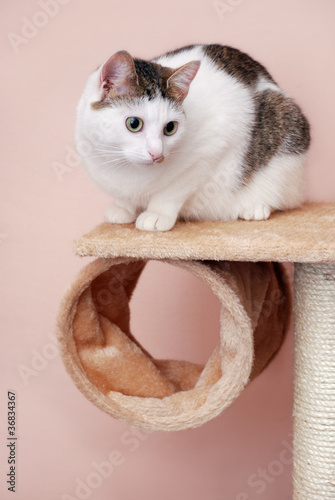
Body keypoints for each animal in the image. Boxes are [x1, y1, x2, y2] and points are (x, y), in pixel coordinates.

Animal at [76, 44, 312, 231]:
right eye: (134, 124)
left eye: (170, 128)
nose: (157, 153)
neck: (125, 169)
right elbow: (123, 197)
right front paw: (123, 207)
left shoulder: (212, 148)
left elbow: (175, 188)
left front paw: (157, 214)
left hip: (287, 127)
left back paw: (256, 206)